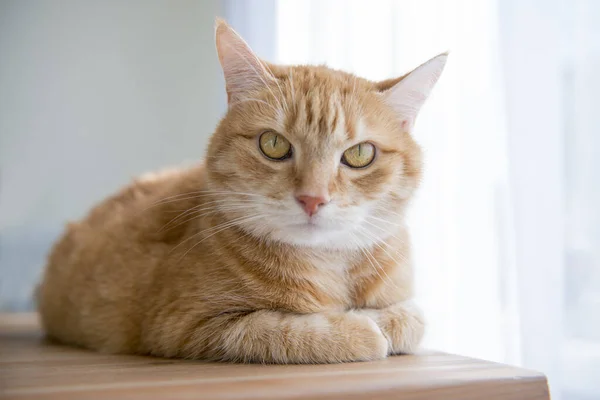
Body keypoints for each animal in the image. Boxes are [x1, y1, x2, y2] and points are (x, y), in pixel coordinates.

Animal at [36, 18, 446, 364]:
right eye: (273, 145)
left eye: (360, 154)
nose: (312, 199)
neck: (328, 266)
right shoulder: (188, 326)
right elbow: (283, 331)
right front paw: (360, 330)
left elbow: (412, 318)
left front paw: (382, 322)